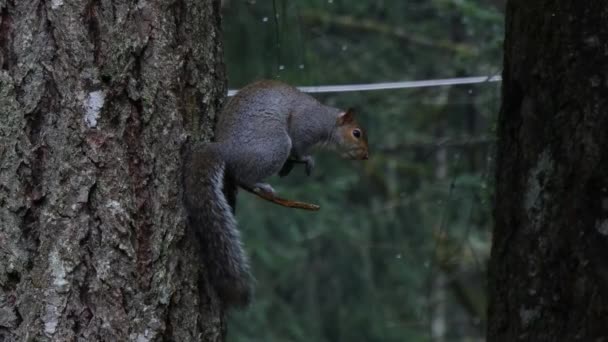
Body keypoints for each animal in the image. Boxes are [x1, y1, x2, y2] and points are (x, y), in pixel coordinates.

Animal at [183, 81, 368, 310]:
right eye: (356, 133)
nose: (366, 155)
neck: (327, 122)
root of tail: (226, 150)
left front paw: (290, 167)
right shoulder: (305, 127)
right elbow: (299, 147)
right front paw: (307, 159)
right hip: (275, 145)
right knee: (245, 176)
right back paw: (262, 185)